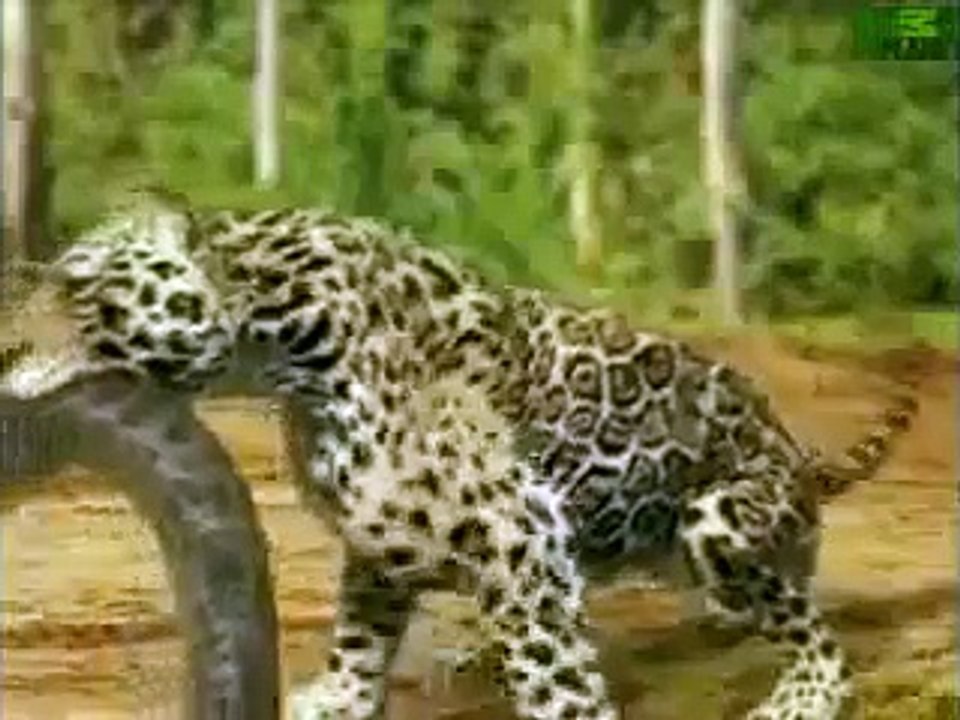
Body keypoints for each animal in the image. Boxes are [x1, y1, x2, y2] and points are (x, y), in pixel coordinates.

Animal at [0, 193, 917, 720]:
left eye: (76, 288)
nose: (5, 349)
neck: (284, 345)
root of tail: (794, 451)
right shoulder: (384, 533)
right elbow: (362, 631)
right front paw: (340, 695)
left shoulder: (518, 528)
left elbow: (555, 671)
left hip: (720, 515)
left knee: (813, 630)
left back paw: (799, 697)